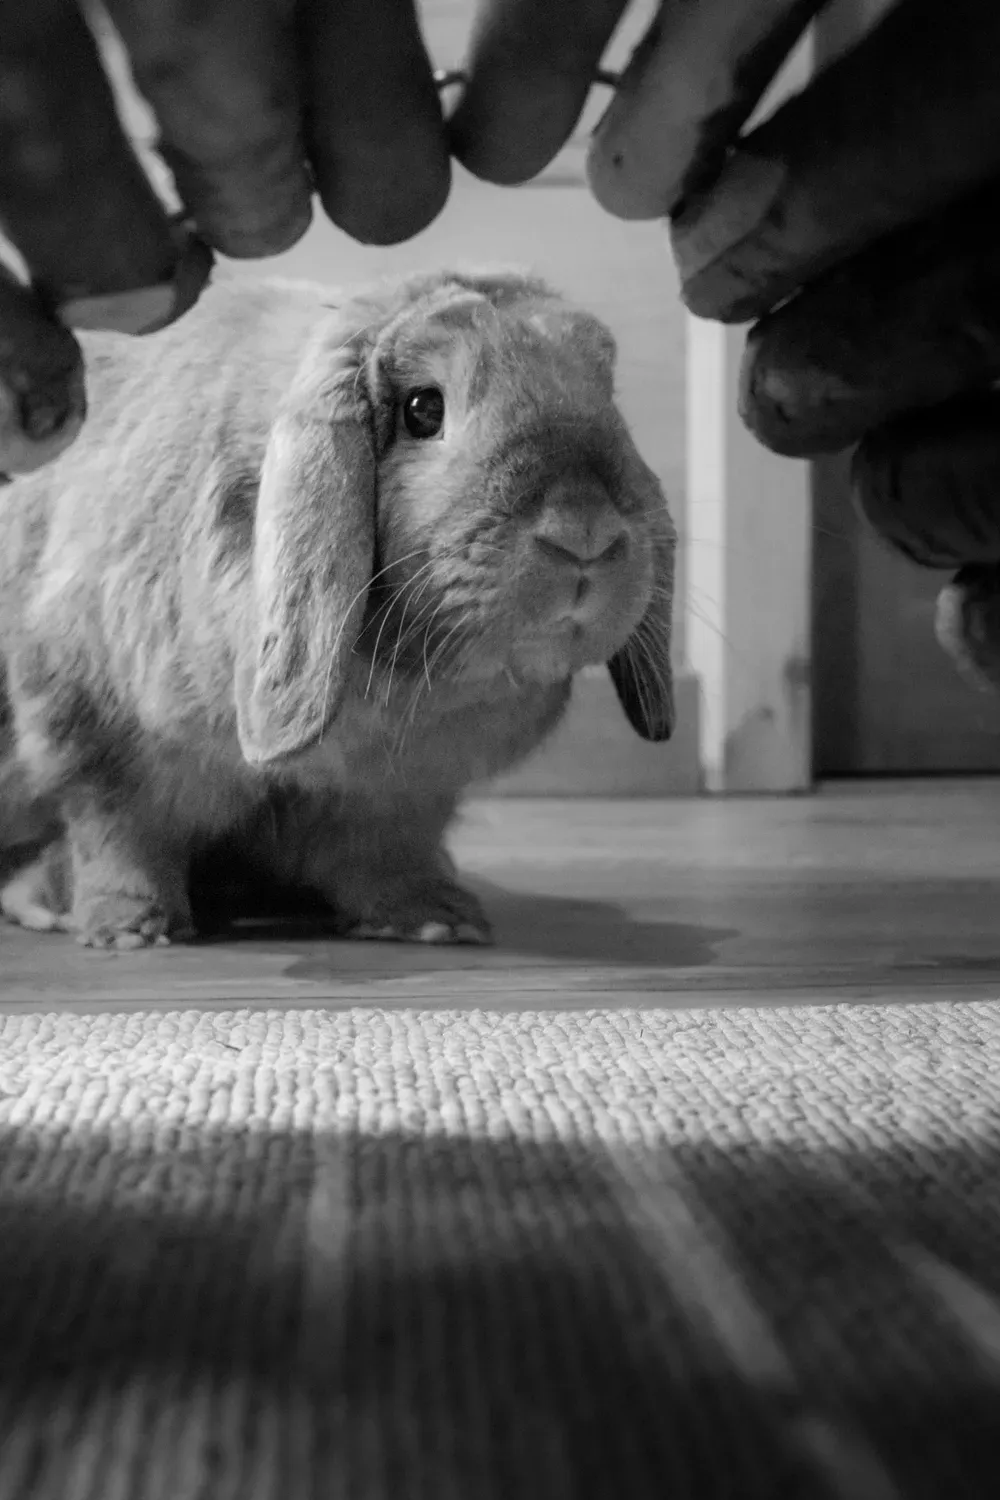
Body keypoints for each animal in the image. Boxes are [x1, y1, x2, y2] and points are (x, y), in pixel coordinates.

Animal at [0, 267, 676, 950]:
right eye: (423, 409)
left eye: (605, 394)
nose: (584, 532)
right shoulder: (96, 734)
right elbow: (119, 837)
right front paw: (130, 930)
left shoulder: (401, 793)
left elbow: (387, 853)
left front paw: (436, 920)